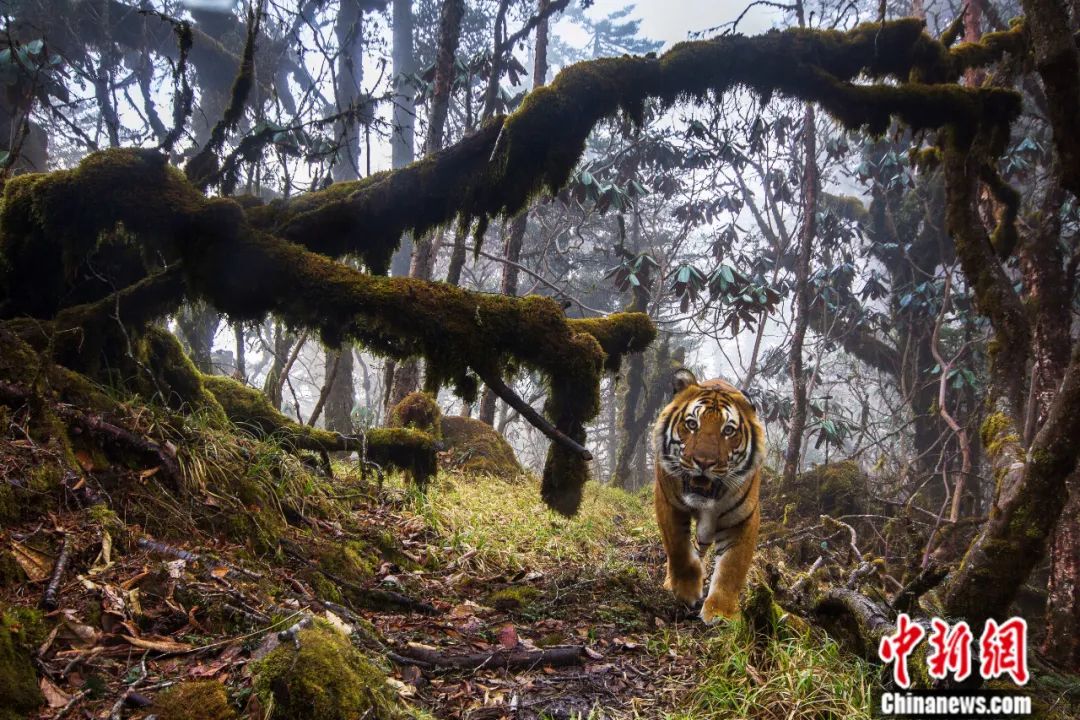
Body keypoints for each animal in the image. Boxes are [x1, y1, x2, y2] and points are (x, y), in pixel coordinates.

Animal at [653, 368, 765, 623]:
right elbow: (678, 549)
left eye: (728, 430)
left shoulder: (743, 519)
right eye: (692, 424)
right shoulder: (668, 502)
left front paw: (721, 612)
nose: (704, 462)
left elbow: (732, 567)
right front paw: (686, 590)